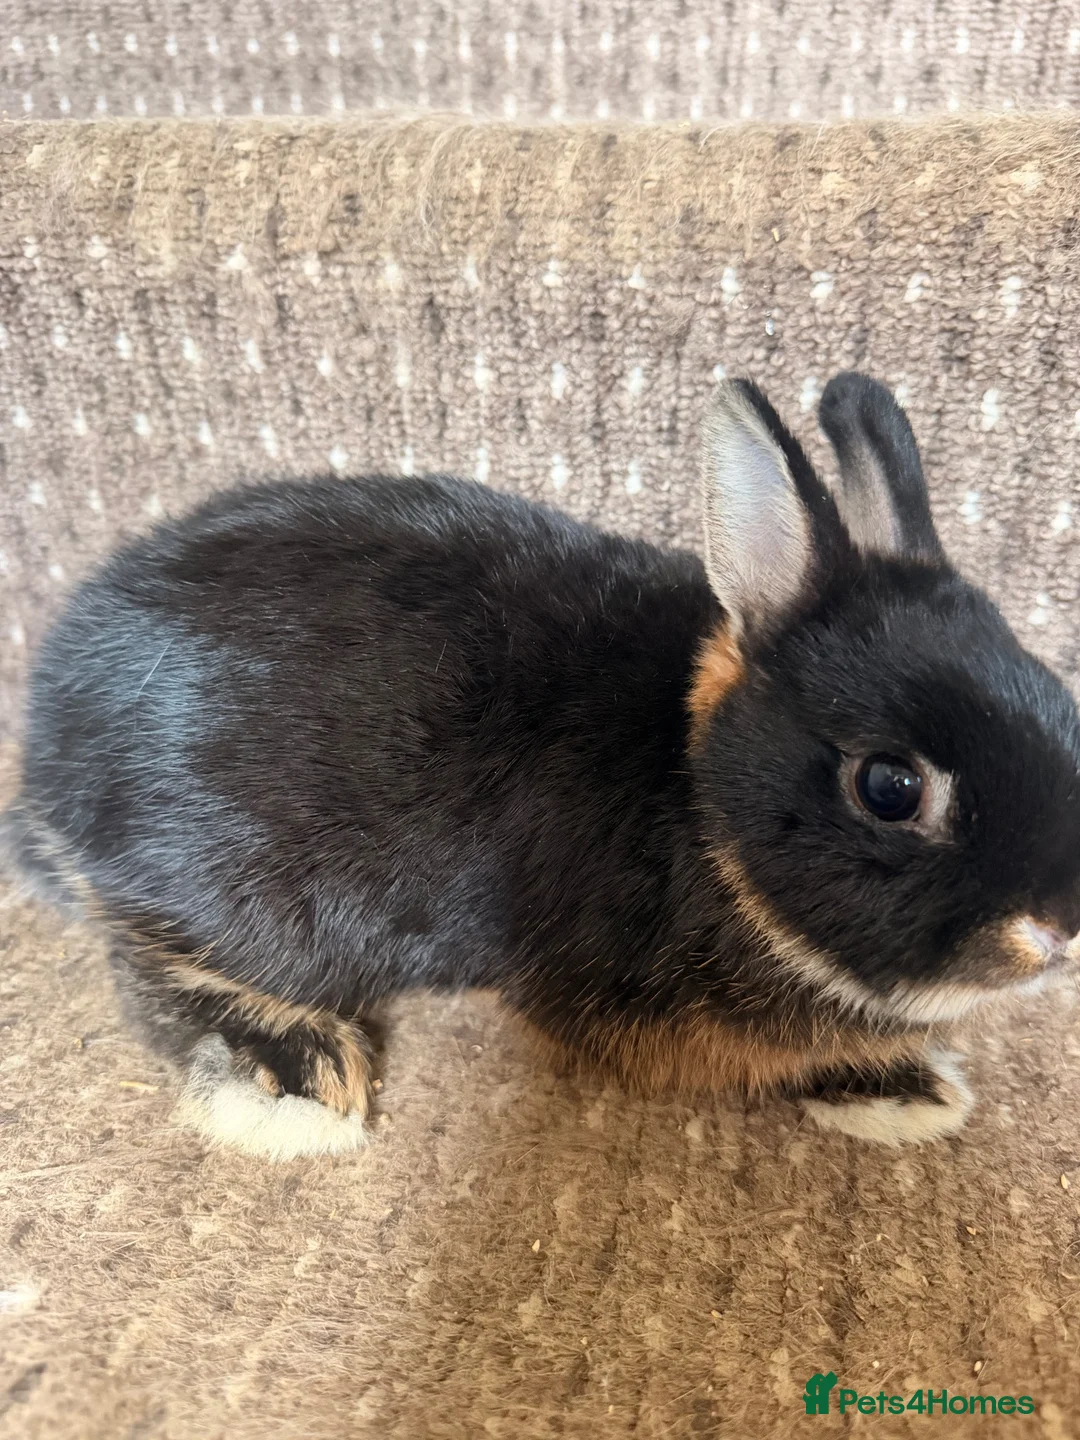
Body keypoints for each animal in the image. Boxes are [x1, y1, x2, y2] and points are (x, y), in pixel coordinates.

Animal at [6, 372, 1080, 1159]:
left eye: (1059, 697)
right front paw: (906, 1085)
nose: (1058, 929)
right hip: (241, 891)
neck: (695, 791)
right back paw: (291, 1076)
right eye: (890, 788)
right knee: (153, 957)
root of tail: (51, 743)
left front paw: (911, 1078)